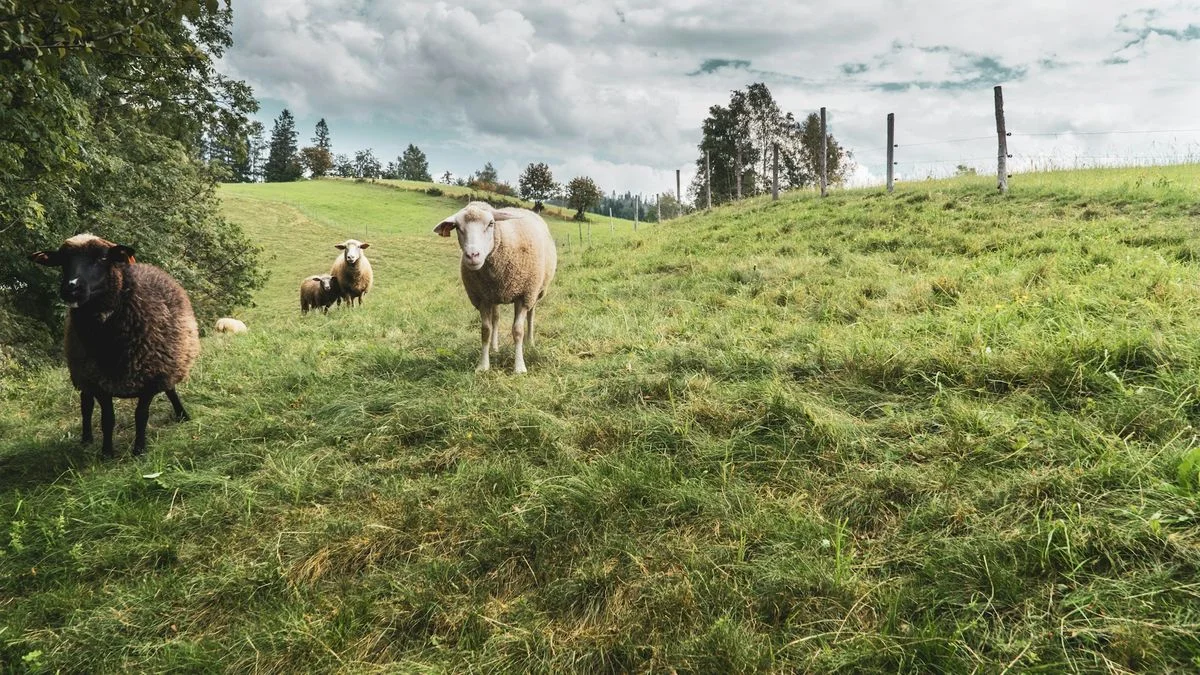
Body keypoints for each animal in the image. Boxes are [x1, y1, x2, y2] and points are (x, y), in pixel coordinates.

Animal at [27, 233, 201, 456]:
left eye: (102, 258)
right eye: (63, 261)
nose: (71, 288)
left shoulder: (151, 377)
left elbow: (141, 414)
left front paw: (139, 450)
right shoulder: (98, 380)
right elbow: (107, 419)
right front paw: (107, 452)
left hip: (169, 361)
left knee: (170, 388)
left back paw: (182, 415)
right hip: (82, 372)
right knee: (86, 404)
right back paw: (86, 438)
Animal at [436, 199, 556, 372]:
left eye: (491, 223)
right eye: (457, 227)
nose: (472, 255)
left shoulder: (524, 295)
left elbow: (517, 331)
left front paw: (519, 367)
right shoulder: (482, 298)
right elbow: (486, 330)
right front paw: (483, 365)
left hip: (535, 291)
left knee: (531, 314)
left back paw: (530, 342)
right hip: (494, 295)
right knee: (496, 318)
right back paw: (494, 348)